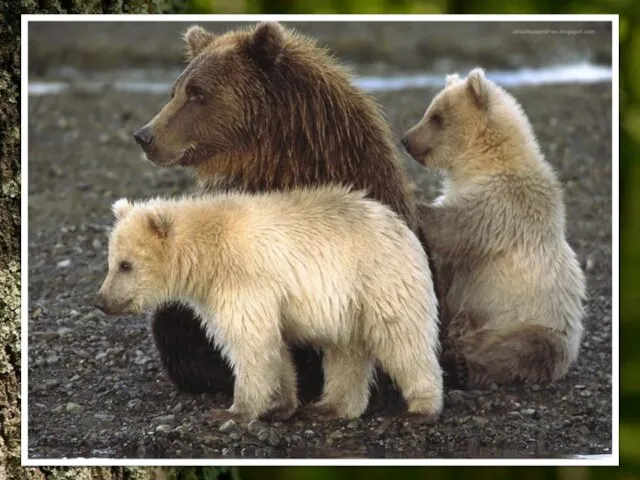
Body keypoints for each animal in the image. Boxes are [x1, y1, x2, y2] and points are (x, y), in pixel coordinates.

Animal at [96, 187, 444, 420]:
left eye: (126, 265)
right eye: (110, 261)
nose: (101, 301)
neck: (206, 258)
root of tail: (402, 226)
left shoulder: (243, 280)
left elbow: (250, 342)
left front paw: (234, 411)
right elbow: (273, 348)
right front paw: (280, 403)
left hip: (378, 280)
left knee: (402, 340)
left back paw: (421, 407)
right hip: (346, 305)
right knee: (346, 351)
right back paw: (330, 406)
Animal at [402, 68, 588, 390]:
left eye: (437, 117)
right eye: (430, 111)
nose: (406, 140)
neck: (481, 162)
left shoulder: (503, 204)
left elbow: (455, 228)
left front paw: (415, 202)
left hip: (535, 318)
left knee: (523, 349)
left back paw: (460, 366)